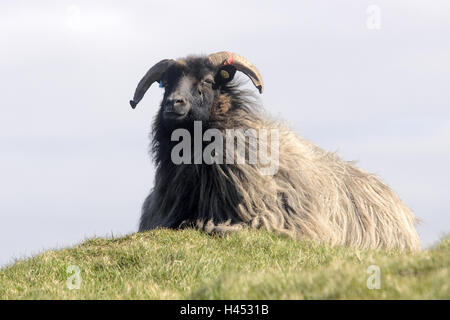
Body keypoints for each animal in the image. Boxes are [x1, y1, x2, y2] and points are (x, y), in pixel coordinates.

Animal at [128, 51, 420, 251]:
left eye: (209, 81)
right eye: (165, 84)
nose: (172, 103)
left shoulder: (268, 220)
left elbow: (215, 228)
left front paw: (205, 225)